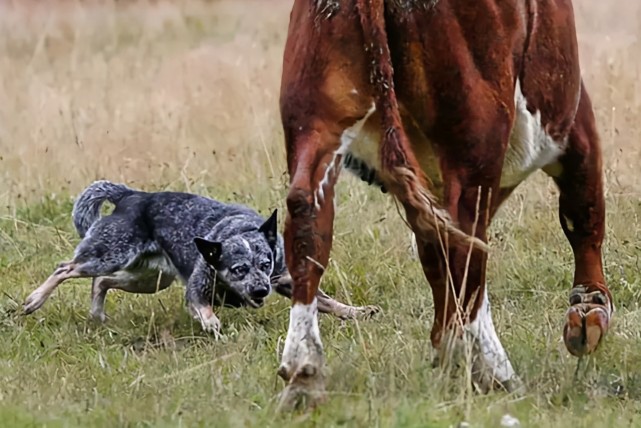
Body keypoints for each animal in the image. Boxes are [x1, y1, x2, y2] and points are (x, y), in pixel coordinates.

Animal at [23, 179, 376, 332]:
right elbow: (204, 310)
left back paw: (97, 314)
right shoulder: (195, 291)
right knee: (66, 268)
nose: (261, 290)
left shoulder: (284, 279)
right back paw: (34, 300)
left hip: (150, 279)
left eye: (265, 264)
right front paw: (212, 324)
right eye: (238, 269)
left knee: (102, 282)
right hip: (109, 254)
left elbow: (327, 302)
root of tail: (131, 195)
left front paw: (356, 312)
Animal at [274, 0, 608, 408]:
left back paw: (303, 373)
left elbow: (432, 258)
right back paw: (493, 372)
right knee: (467, 244)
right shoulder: (576, 125)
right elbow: (584, 212)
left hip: (315, 116)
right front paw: (589, 311)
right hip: (475, 146)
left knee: (307, 214)